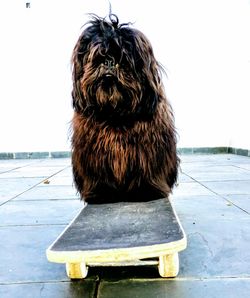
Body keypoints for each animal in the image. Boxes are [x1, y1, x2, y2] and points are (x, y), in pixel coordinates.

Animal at [71, 12, 179, 204]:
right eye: (98, 54)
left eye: (123, 57)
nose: (108, 61)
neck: (115, 112)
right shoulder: (94, 150)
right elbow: (99, 174)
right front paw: (101, 193)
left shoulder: (147, 146)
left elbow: (146, 169)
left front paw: (145, 190)